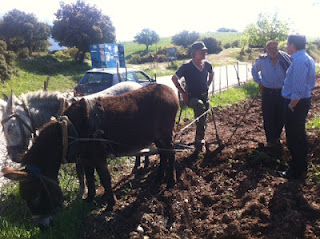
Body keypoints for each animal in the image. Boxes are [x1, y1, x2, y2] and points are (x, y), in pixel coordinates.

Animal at [2, 84, 179, 228]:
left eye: (36, 196)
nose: (43, 226)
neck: (68, 131)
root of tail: (170, 90)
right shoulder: (86, 158)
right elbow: (89, 178)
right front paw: (89, 200)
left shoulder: (98, 157)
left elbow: (105, 179)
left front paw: (110, 205)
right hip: (158, 138)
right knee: (164, 154)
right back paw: (159, 177)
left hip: (165, 135)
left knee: (171, 153)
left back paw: (171, 181)